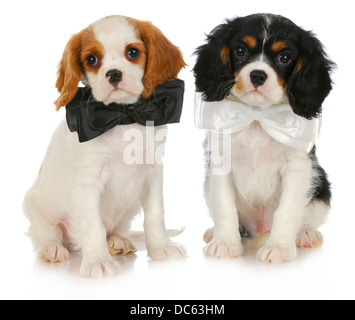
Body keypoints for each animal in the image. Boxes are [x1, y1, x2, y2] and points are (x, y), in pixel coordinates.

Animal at [23, 14, 188, 278]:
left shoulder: (152, 173)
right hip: (35, 205)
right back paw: (52, 249)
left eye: (132, 52)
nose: (114, 74)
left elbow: (155, 215)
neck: (122, 116)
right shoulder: (88, 182)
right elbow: (93, 225)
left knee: (115, 229)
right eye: (92, 59)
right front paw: (97, 261)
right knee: (46, 234)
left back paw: (117, 242)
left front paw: (162, 247)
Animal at [193, 13, 336, 262]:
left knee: (309, 216)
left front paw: (279, 248)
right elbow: (225, 206)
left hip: (321, 188)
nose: (258, 75)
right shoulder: (220, 164)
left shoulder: (297, 166)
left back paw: (306, 234)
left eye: (284, 57)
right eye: (240, 51)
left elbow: (287, 210)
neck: (257, 115)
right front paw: (225, 242)